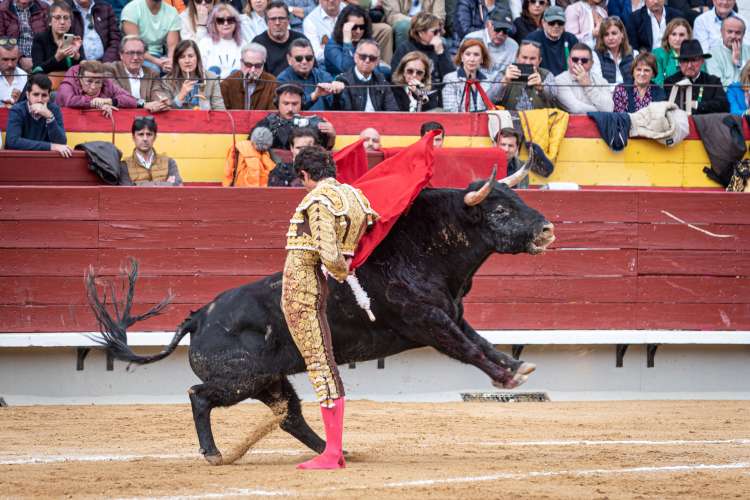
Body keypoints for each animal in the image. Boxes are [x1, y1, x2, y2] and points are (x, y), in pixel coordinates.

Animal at [87, 166, 555, 465]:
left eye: (518, 199)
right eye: (500, 211)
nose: (547, 230)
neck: (422, 247)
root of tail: (198, 317)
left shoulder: (451, 313)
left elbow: (481, 342)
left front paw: (516, 366)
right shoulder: (428, 321)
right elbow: (469, 350)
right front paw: (510, 377)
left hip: (271, 380)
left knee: (291, 415)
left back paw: (334, 453)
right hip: (240, 380)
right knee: (199, 395)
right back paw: (215, 453)